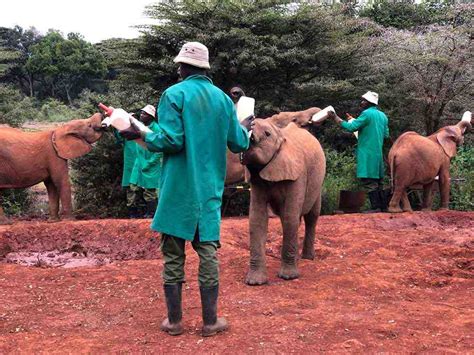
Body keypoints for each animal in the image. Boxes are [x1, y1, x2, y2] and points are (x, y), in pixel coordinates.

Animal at [241, 119, 326, 286]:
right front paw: (255, 282)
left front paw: (289, 277)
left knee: (311, 216)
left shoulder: (298, 174)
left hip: (317, 182)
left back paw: (307, 258)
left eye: (267, 134)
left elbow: (290, 216)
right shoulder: (256, 179)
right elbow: (257, 219)